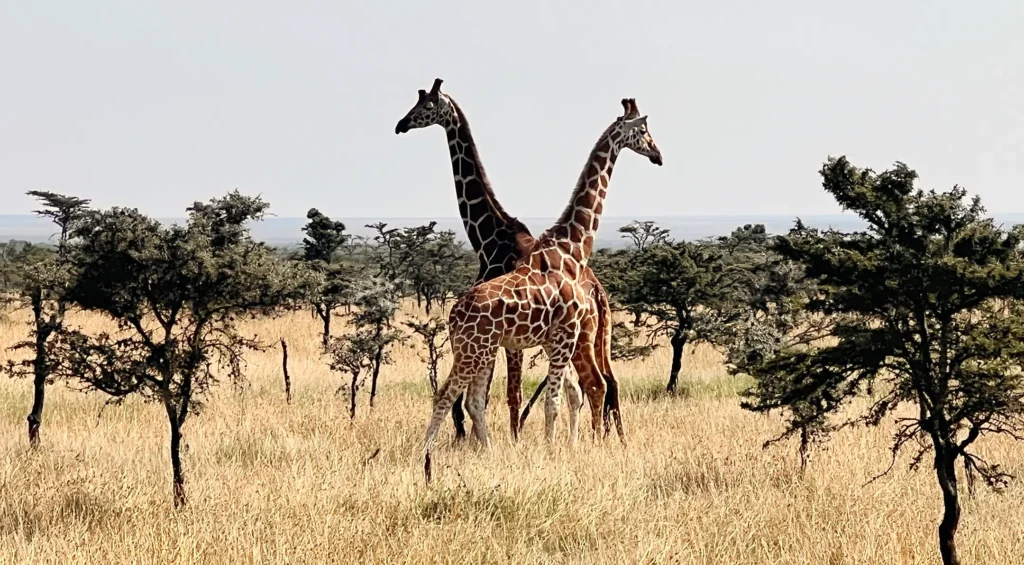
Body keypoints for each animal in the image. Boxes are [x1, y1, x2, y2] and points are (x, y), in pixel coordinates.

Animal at [395, 79, 625, 442]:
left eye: (427, 106)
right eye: (415, 102)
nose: (401, 125)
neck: (490, 238)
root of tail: (598, 291)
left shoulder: (507, 336)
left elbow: (504, 393)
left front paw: (507, 439)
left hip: (581, 335)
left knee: (597, 384)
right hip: (597, 334)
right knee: (609, 382)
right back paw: (613, 439)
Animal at [422, 98, 662, 481]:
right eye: (643, 130)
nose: (658, 155)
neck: (573, 247)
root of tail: (455, 314)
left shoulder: (554, 339)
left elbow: (559, 396)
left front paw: (556, 446)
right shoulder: (562, 335)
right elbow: (552, 400)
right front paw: (552, 450)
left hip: (481, 350)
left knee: (472, 399)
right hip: (477, 351)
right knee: (446, 395)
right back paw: (426, 457)